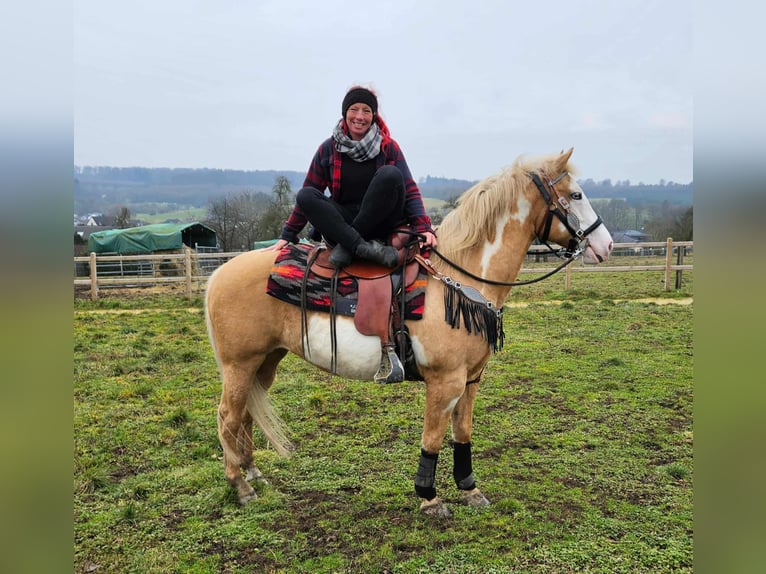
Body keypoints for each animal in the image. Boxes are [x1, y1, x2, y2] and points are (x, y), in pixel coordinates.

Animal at [204, 147, 613, 517]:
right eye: (577, 195)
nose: (605, 244)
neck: (459, 278)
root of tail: (218, 274)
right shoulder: (445, 381)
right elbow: (432, 437)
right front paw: (429, 497)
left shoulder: (470, 380)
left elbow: (462, 433)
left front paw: (470, 490)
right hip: (239, 364)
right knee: (226, 417)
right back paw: (240, 487)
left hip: (265, 362)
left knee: (244, 415)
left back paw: (253, 473)